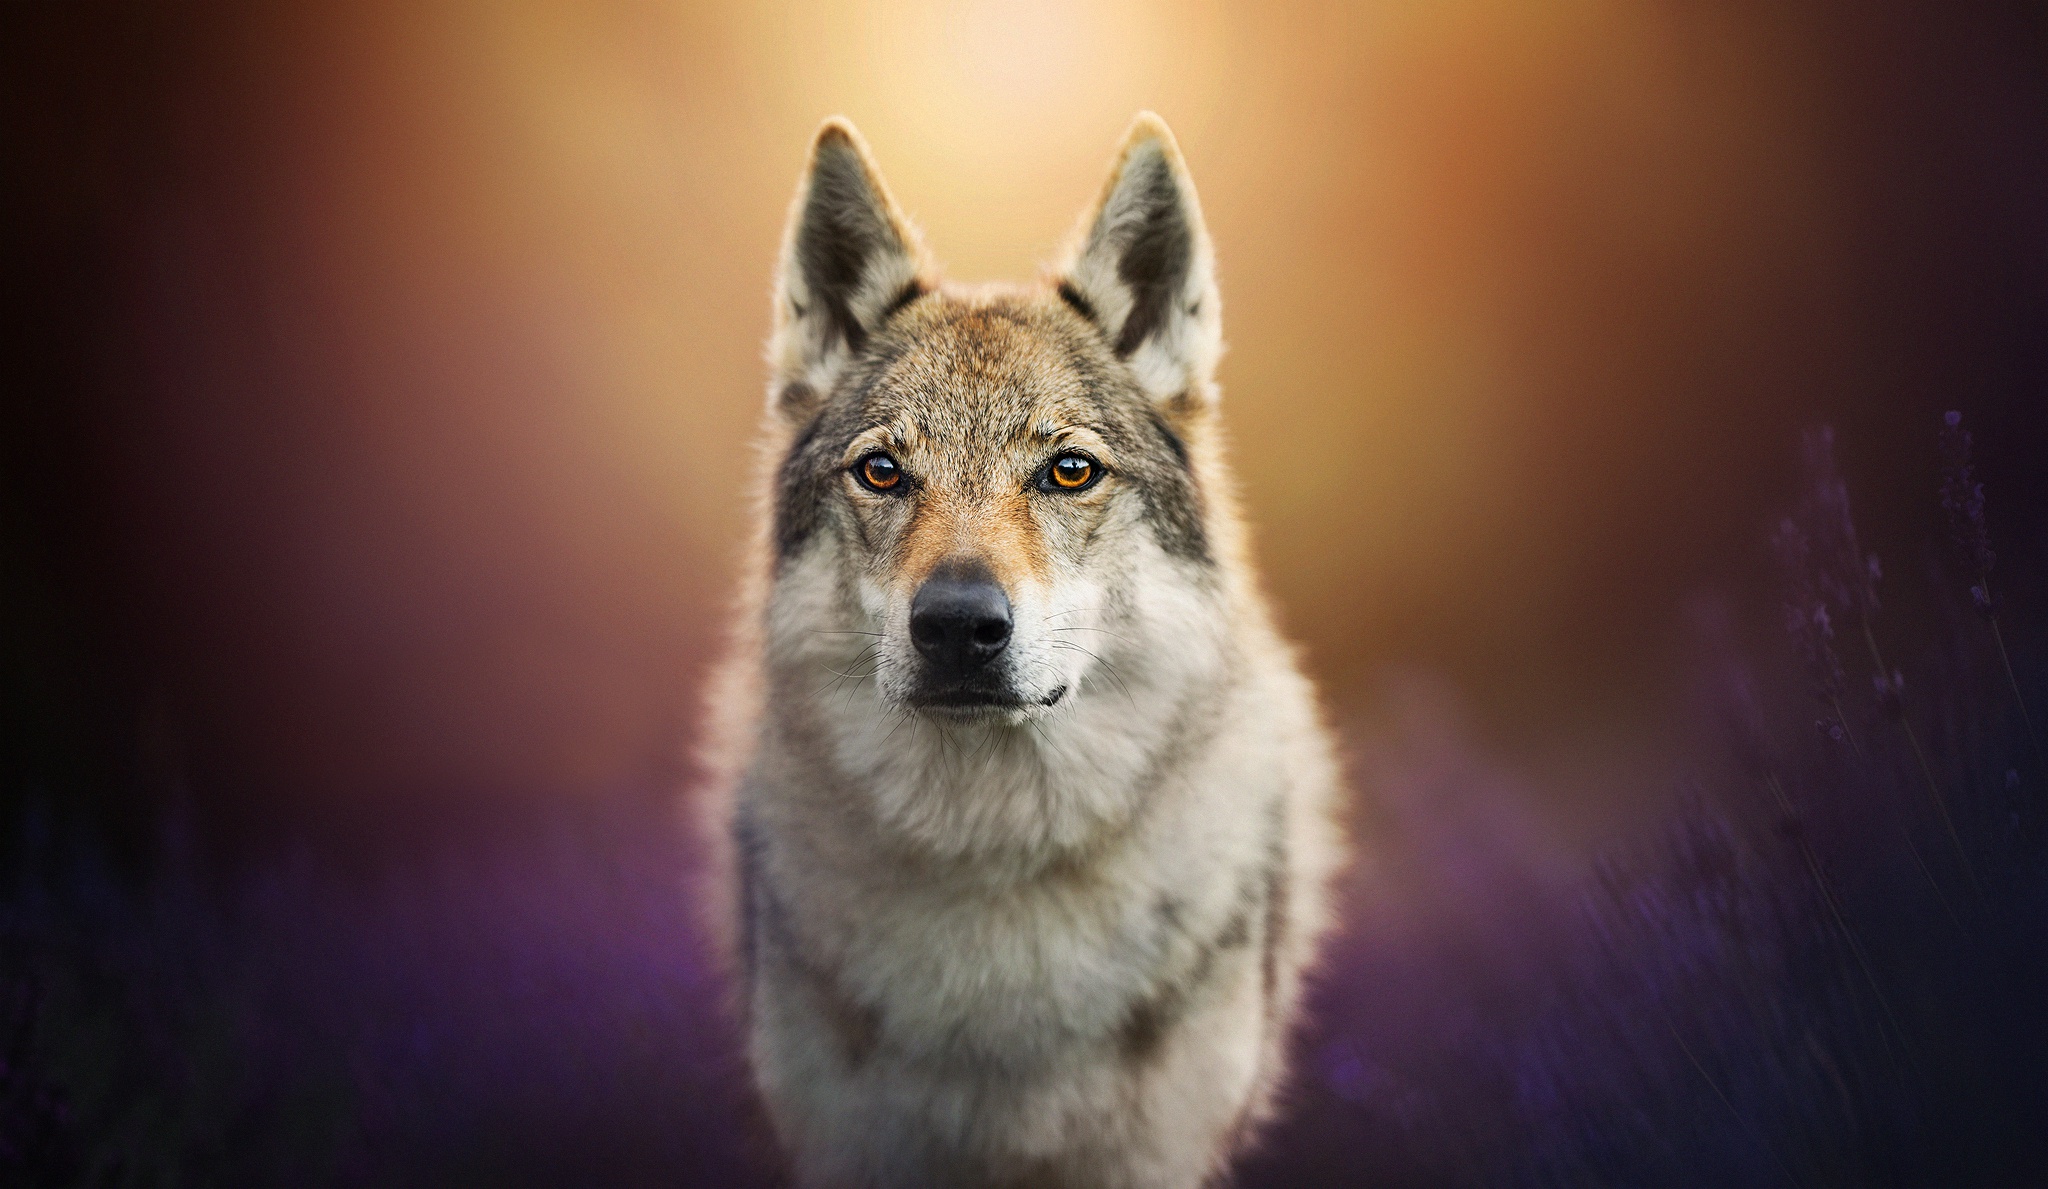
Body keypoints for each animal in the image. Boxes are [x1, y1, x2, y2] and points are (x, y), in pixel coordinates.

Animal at [700, 112, 1345, 1189]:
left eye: (1068, 470)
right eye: (883, 470)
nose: (958, 623)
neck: (994, 858)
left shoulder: (1153, 1154)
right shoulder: (849, 1143)